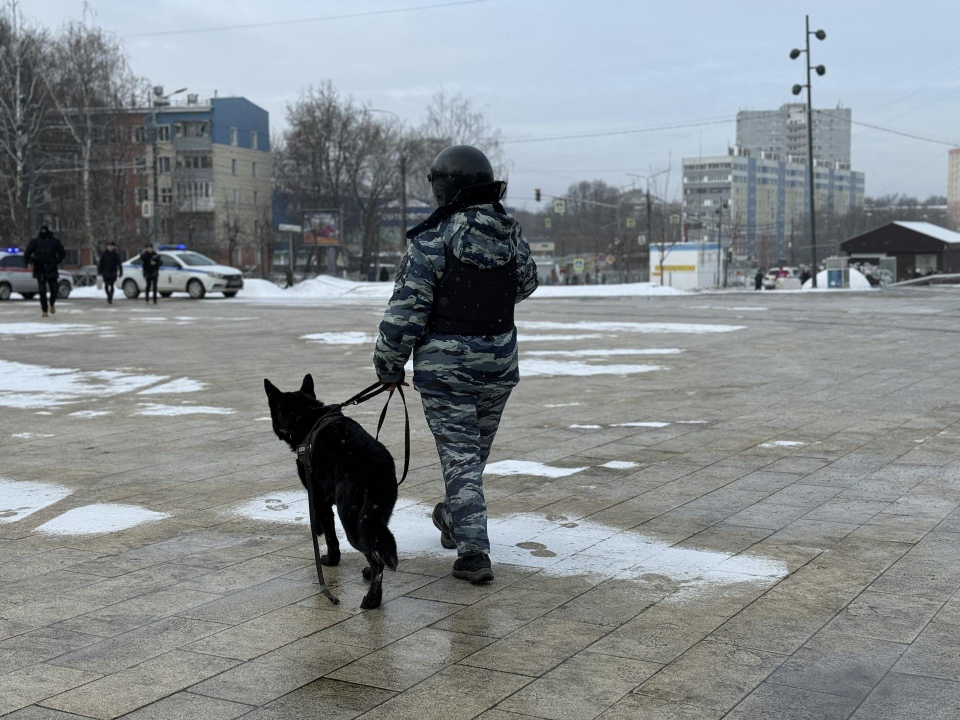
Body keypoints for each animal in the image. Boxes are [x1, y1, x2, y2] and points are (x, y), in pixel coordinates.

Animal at [262, 374, 398, 612]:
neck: (306, 415)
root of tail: (375, 466)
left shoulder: (317, 497)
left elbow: (328, 532)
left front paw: (331, 559)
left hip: (351, 518)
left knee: (375, 558)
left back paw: (372, 599)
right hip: (375, 516)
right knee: (376, 543)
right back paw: (369, 577)